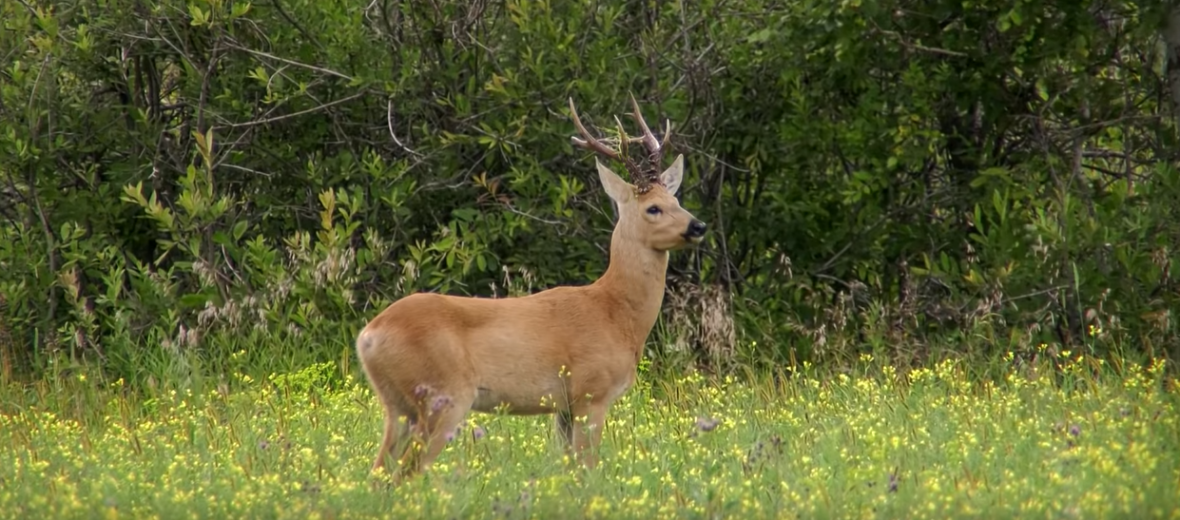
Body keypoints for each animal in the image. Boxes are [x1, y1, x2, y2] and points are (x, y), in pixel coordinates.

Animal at [353, 94, 703, 478]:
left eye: (677, 201)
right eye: (653, 208)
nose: (698, 226)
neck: (616, 313)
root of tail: (369, 335)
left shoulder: (563, 407)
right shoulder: (591, 393)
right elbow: (588, 468)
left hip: (397, 407)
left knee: (378, 474)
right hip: (442, 397)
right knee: (405, 474)